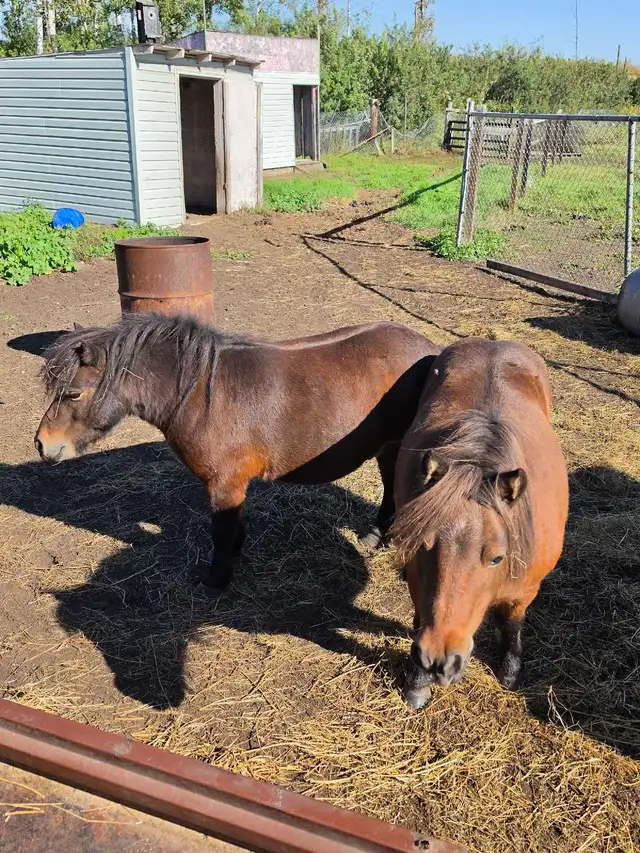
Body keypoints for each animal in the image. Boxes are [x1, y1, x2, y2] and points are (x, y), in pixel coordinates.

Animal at [35, 312, 440, 597]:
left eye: (73, 393)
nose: (42, 444)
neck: (201, 394)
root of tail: (430, 351)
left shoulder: (225, 482)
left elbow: (221, 530)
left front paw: (217, 578)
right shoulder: (230, 484)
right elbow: (233, 525)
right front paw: (236, 553)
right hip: (388, 446)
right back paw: (377, 534)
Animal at [392, 337, 568, 709]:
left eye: (497, 558)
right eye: (424, 547)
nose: (438, 662)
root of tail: (494, 341)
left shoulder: (525, 590)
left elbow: (511, 624)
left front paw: (510, 671)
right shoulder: (418, 574)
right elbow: (421, 615)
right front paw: (418, 682)